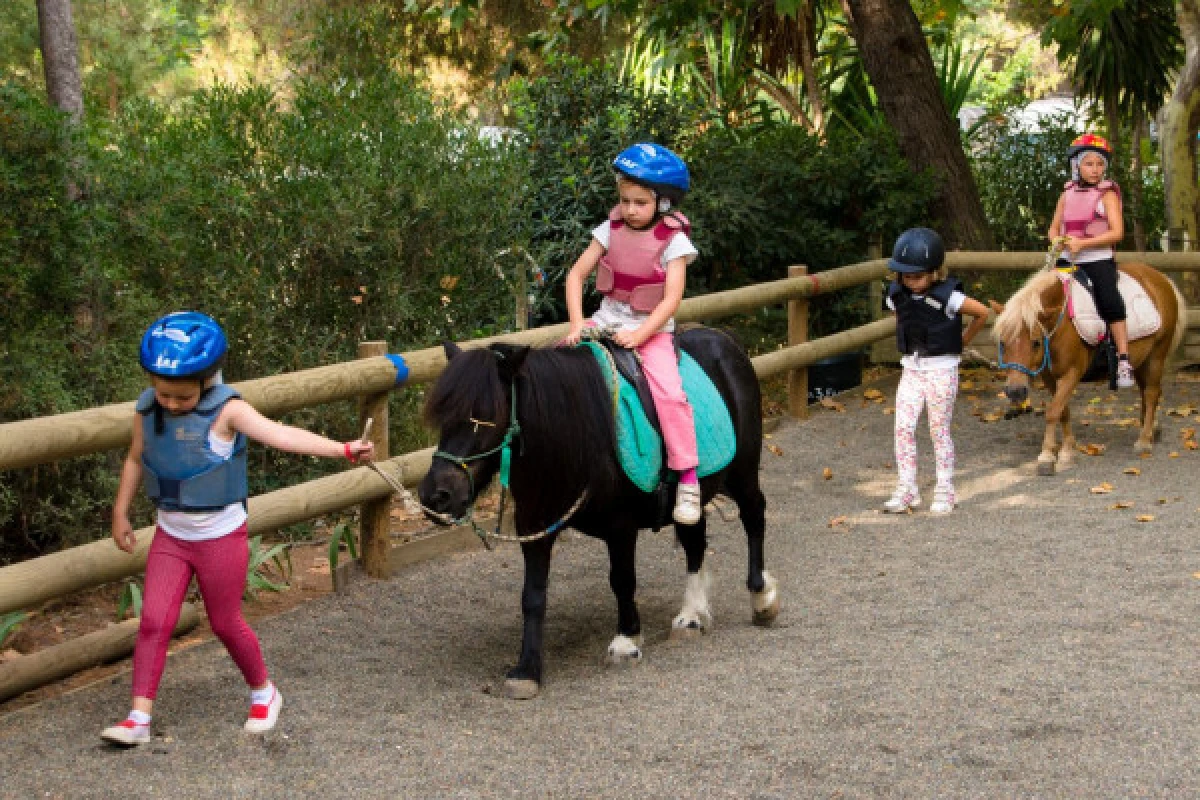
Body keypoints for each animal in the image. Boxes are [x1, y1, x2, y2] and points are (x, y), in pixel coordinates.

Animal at [420, 326, 777, 700]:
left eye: (485, 416)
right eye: (443, 418)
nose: (436, 495)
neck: (574, 436)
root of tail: (725, 340)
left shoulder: (621, 526)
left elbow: (622, 580)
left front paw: (626, 641)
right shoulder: (535, 526)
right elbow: (532, 596)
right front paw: (527, 669)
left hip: (743, 472)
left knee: (754, 515)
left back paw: (761, 597)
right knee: (695, 540)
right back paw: (692, 615)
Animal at [988, 262, 1185, 474]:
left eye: (1036, 343)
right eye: (1002, 342)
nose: (1015, 391)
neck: (1061, 324)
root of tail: (1162, 278)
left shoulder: (1071, 373)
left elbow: (1053, 411)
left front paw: (1047, 456)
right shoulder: (1050, 377)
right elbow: (1062, 410)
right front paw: (1068, 450)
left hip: (1157, 354)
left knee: (1151, 393)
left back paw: (1144, 440)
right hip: (1141, 360)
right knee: (1145, 391)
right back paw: (1151, 429)